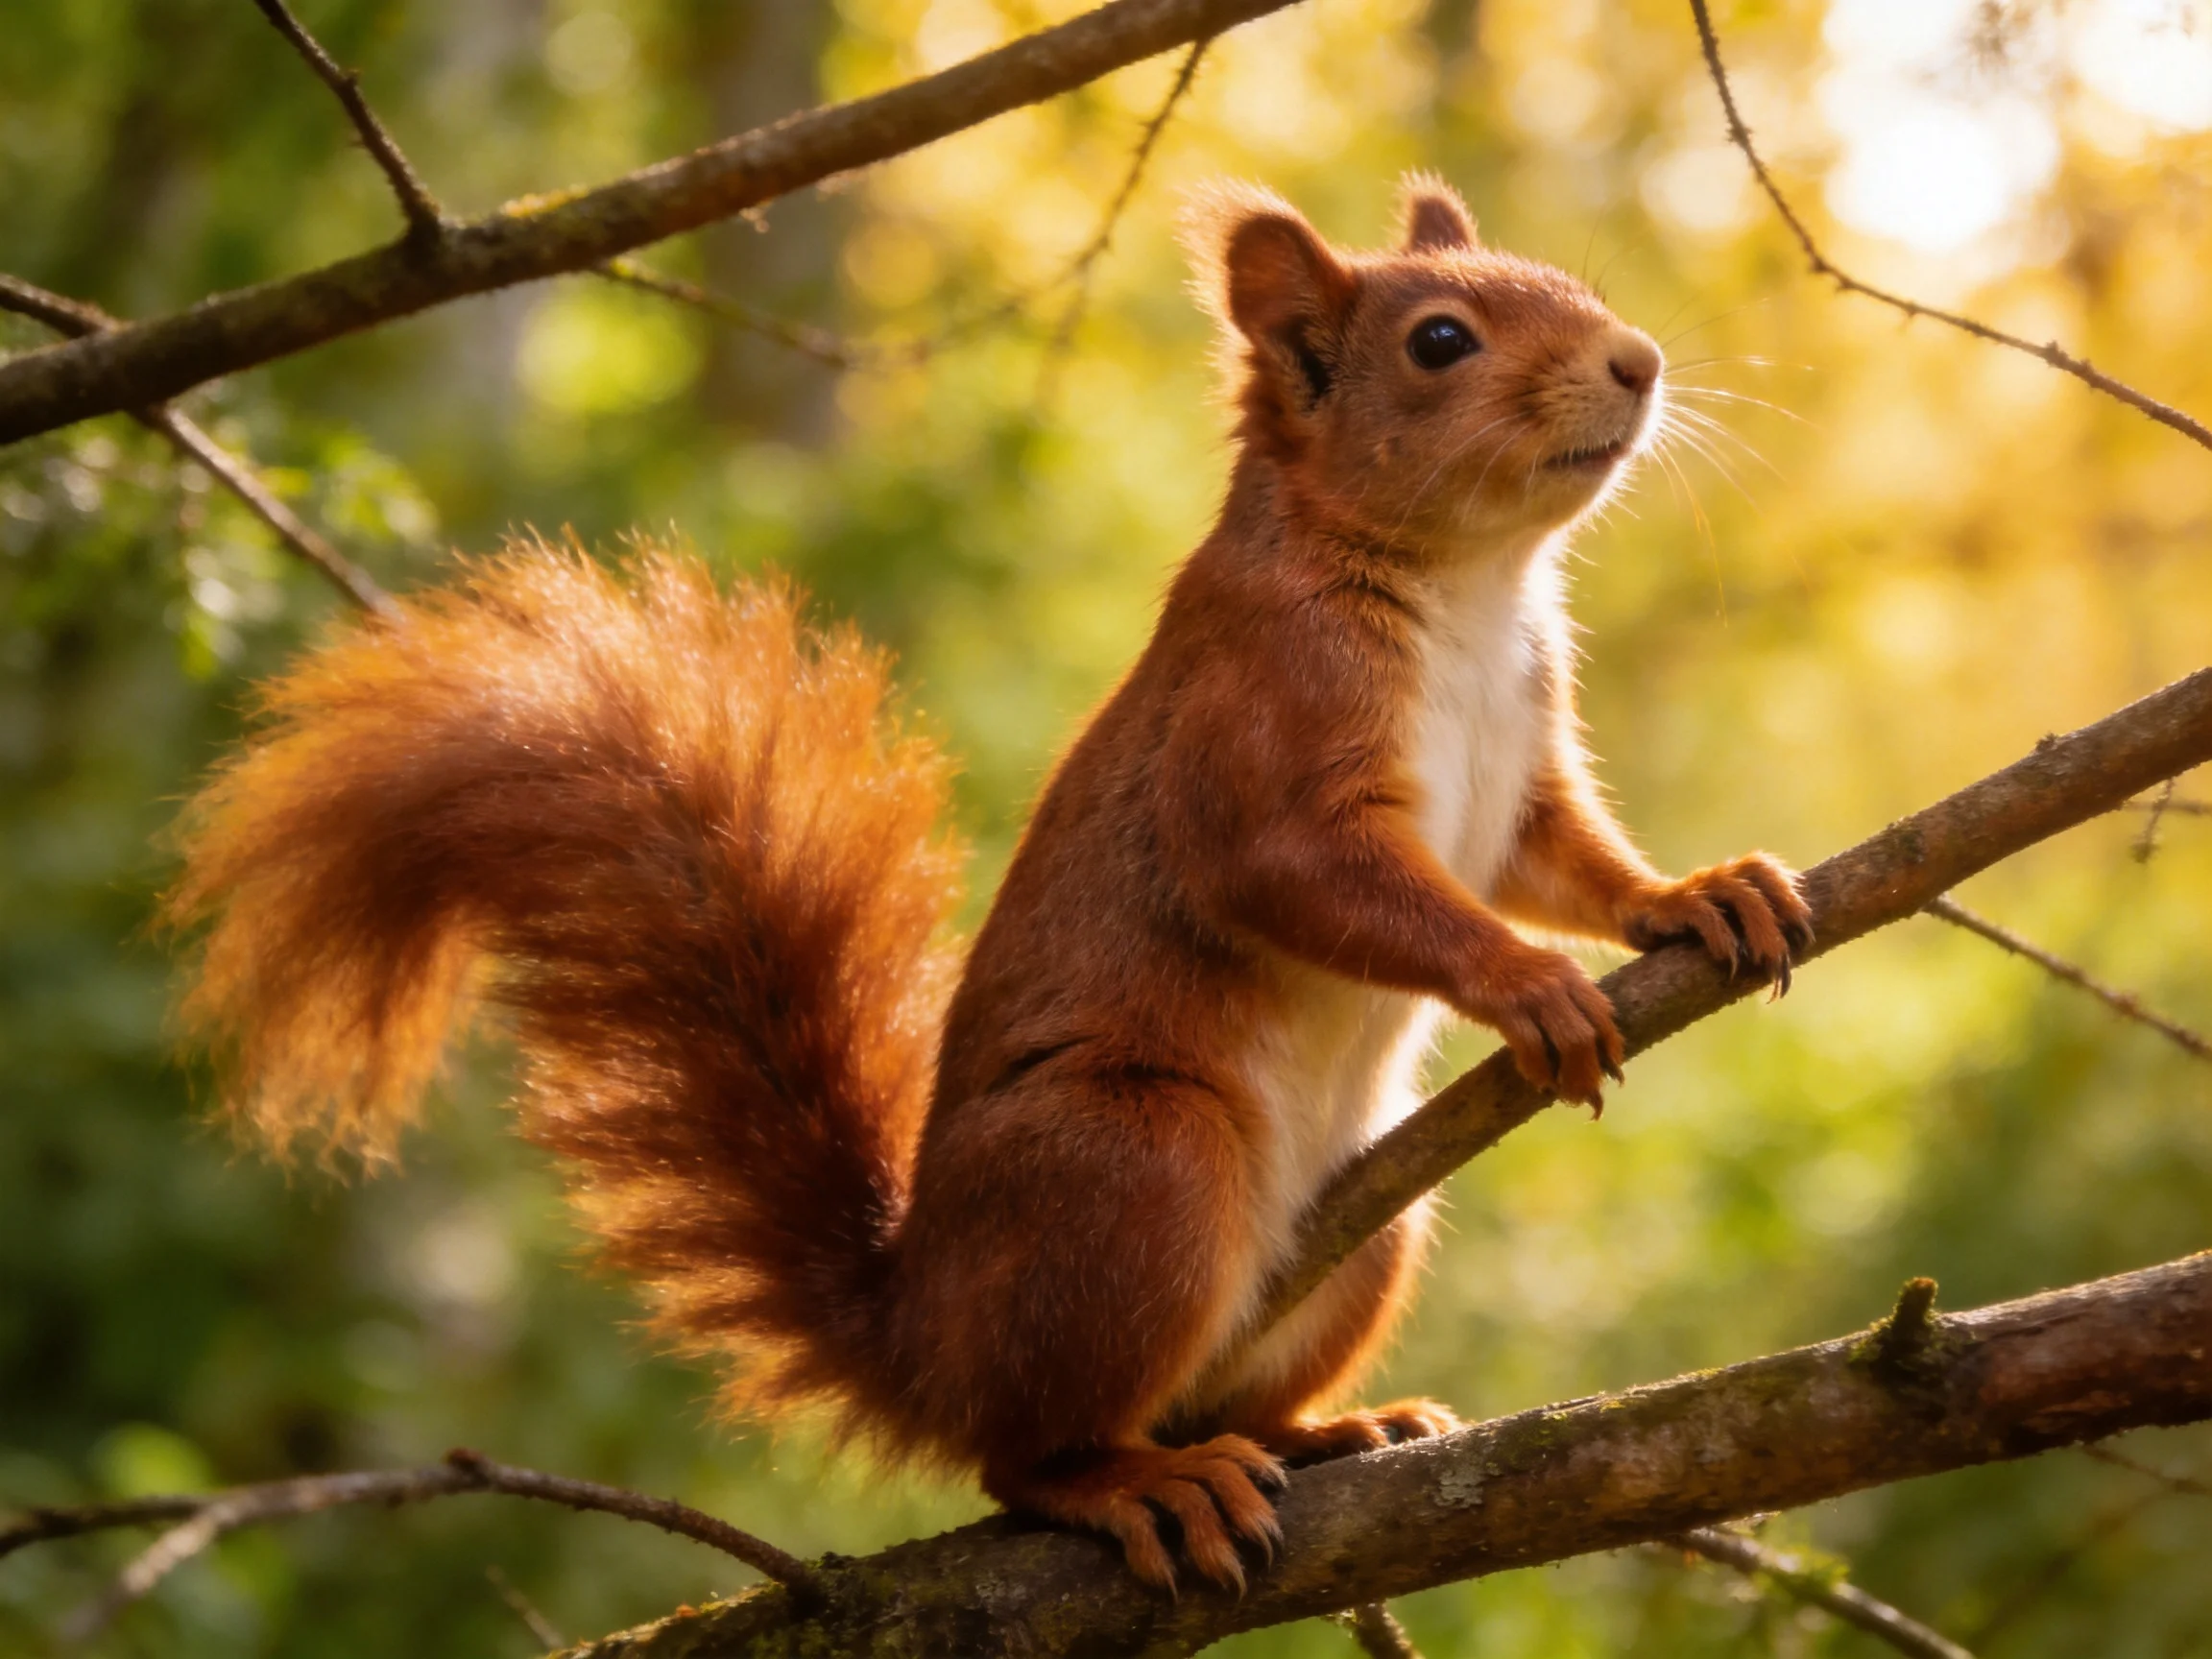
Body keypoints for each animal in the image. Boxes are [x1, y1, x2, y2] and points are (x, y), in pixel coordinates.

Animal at [162, 175, 1811, 1592]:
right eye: (1442, 342)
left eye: (1571, 286)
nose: (1639, 361)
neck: (1465, 588)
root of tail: (923, 1344)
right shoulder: (1262, 729)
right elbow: (1315, 877)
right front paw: (1524, 983)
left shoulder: (1522, 768)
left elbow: (1566, 858)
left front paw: (1696, 894)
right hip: (1134, 1162)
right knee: (1022, 1459)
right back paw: (1137, 1481)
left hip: (1369, 1225)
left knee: (1217, 1389)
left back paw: (1322, 1429)